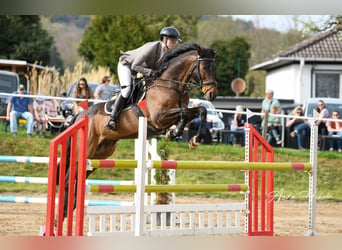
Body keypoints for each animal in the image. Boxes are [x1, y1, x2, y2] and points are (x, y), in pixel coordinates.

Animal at [60, 43, 218, 219]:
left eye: (215, 67)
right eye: (204, 67)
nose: (212, 94)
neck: (171, 84)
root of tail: (80, 115)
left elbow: (200, 110)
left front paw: (193, 139)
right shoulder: (158, 117)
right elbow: (184, 112)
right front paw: (175, 133)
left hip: (99, 154)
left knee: (78, 178)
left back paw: (66, 212)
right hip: (84, 151)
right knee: (68, 179)